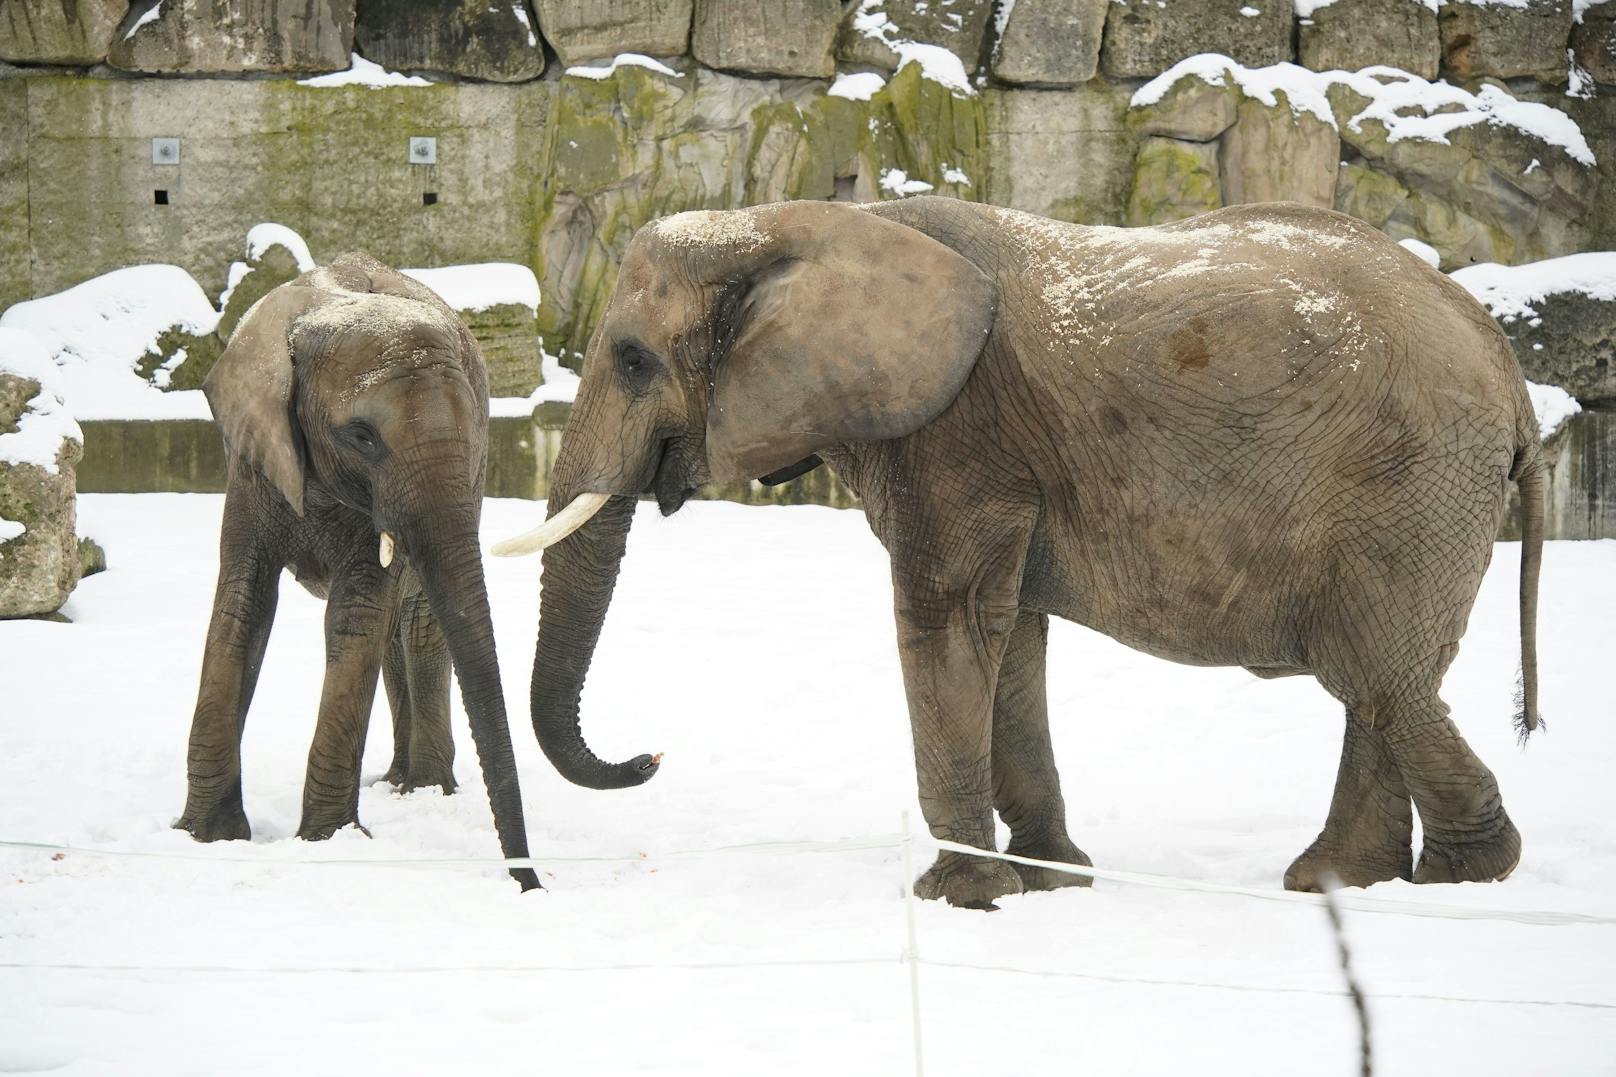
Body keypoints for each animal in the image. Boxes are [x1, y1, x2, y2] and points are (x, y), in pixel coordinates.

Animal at [178, 249, 536, 886]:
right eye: (362, 436)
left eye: (476, 436)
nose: (530, 884)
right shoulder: (253, 461)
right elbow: (243, 603)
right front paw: (206, 836)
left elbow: (357, 616)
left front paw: (325, 842)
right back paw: (398, 783)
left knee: (417, 624)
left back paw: (423, 790)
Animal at [500, 194, 1538, 905]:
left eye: (633, 359)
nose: (650, 757)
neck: (793, 222)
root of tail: (1508, 369)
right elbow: (1013, 640)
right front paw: (1053, 882)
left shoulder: (960, 432)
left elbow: (948, 619)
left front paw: (958, 896)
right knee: (1381, 679)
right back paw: (1339, 882)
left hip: (1411, 482)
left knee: (1374, 674)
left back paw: (1459, 878)